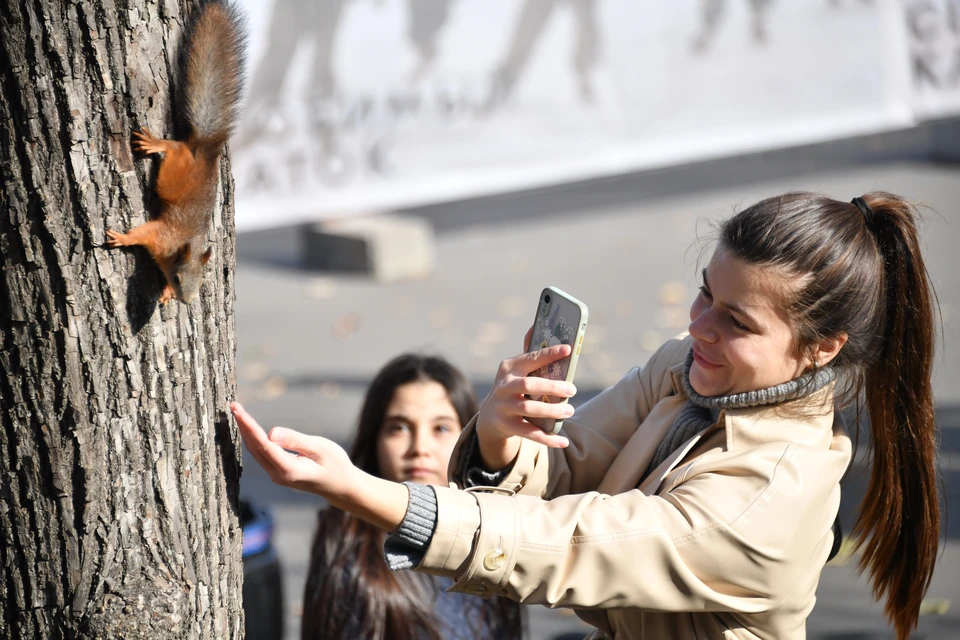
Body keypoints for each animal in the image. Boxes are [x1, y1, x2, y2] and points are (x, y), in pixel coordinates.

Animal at [107, 0, 246, 304]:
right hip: (174, 176)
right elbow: (142, 232)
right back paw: (157, 144)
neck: (178, 250)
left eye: (202, 281)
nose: (187, 300)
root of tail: (204, 152)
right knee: (176, 147)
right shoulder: (161, 234)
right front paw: (123, 238)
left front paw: (166, 293)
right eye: (179, 276)